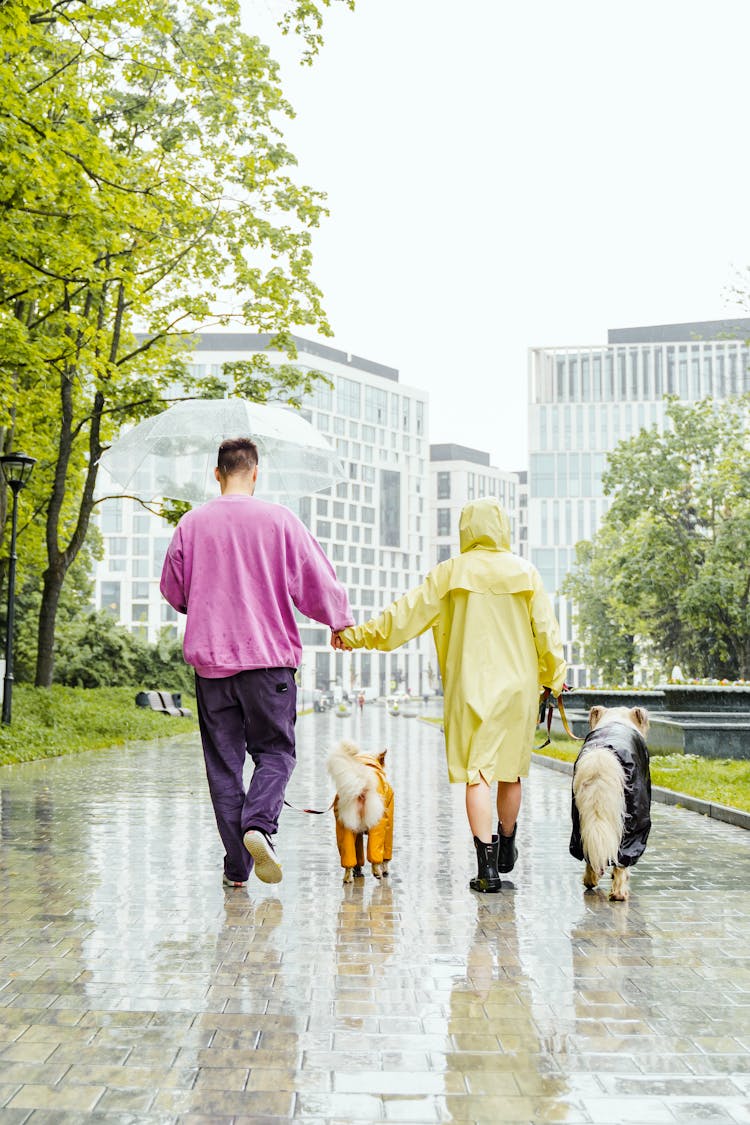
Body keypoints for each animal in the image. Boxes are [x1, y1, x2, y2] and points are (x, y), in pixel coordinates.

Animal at [330, 742, 398, 882]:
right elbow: (385, 854)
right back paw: (377, 872)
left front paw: (358, 870)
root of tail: (362, 782)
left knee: (348, 855)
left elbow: (358, 853)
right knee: (374, 853)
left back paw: (348, 877)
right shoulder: (388, 822)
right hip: (378, 822)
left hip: (345, 824)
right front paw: (385, 869)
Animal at [568, 702, 652, 904]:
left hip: (578, 815)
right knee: (622, 858)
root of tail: (602, 756)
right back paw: (619, 893)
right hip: (634, 816)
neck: (616, 719)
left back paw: (590, 879)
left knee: (589, 847)